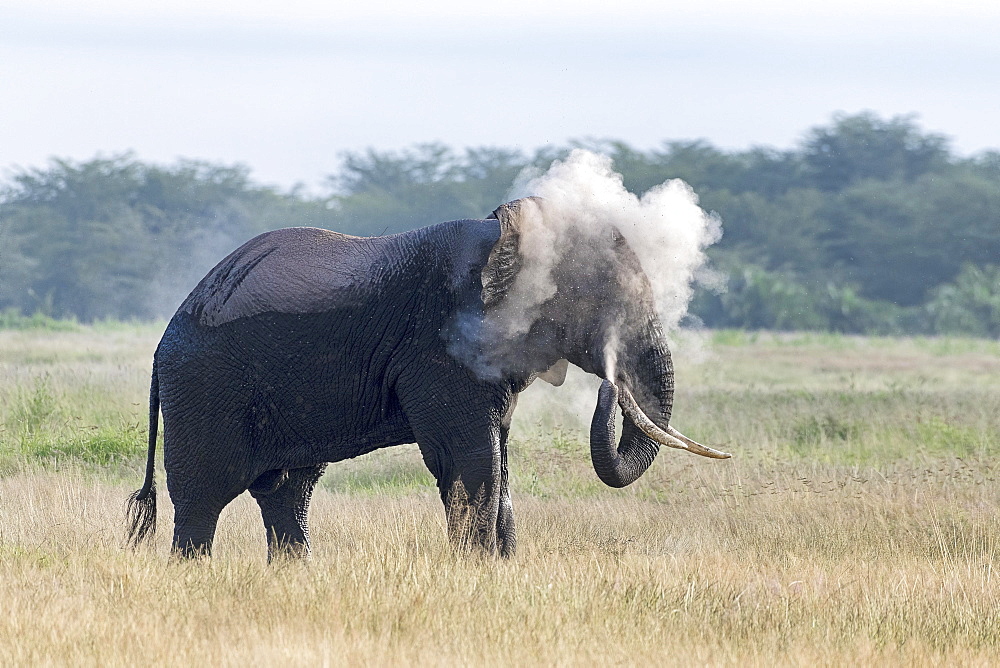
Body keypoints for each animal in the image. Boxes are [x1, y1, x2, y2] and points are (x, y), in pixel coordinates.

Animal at [129, 197, 732, 560]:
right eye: (606, 302)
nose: (610, 383)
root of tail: (165, 339)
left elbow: (498, 461)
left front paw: (500, 570)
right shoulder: (440, 350)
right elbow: (470, 457)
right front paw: (479, 570)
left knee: (287, 490)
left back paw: (295, 574)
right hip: (205, 385)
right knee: (204, 495)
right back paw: (195, 574)